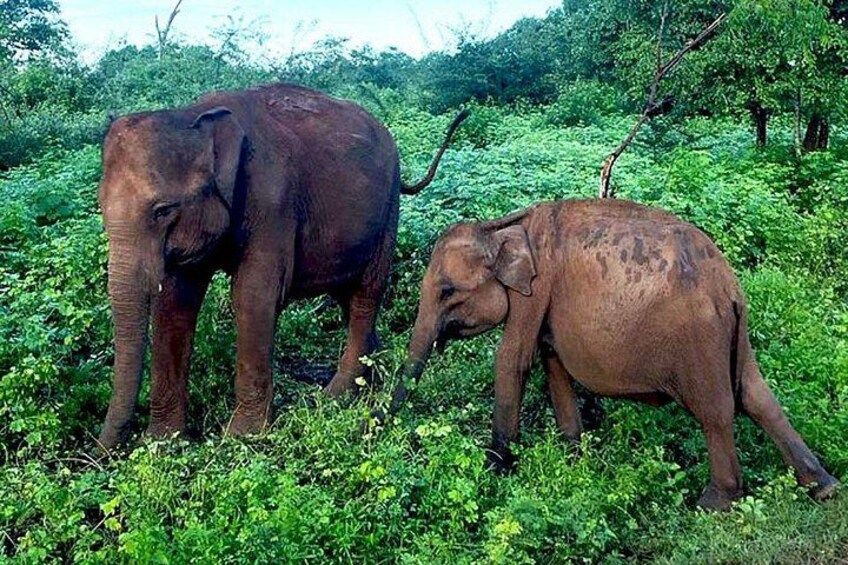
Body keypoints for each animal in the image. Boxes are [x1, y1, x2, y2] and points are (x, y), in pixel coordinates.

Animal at [96, 83, 468, 449]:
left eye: (162, 211)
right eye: (100, 207)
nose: (102, 451)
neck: (192, 114)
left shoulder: (271, 201)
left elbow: (253, 296)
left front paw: (242, 437)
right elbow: (176, 300)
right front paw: (165, 442)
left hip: (387, 212)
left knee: (367, 292)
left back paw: (335, 398)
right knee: (347, 296)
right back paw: (370, 379)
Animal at [386, 198, 839, 510]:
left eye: (447, 291)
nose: (383, 429)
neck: (500, 227)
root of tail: (727, 284)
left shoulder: (536, 290)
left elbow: (513, 360)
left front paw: (494, 472)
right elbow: (553, 361)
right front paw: (573, 457)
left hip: (699, 336)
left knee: (717, 409)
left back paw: (714, 505)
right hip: (734, 333)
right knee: (756, 395)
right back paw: (825, 488)